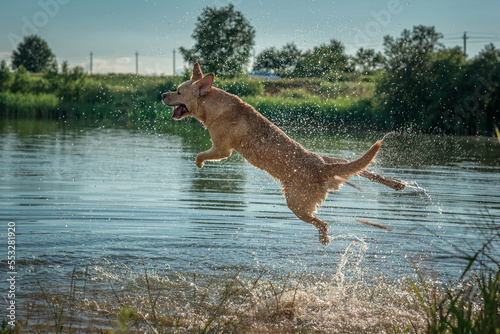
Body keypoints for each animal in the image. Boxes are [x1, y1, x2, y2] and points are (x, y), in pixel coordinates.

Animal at [162, 63, 404, 245]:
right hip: (334, 160)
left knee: (322, 223)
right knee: (363, 170)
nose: (163, 94)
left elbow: (200, 155)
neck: (214, 104)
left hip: (296, 204)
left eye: (178, 91)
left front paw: (199, 164)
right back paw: (396, 183)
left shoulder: (221, 149)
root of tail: (323, 168)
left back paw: (325, 238)